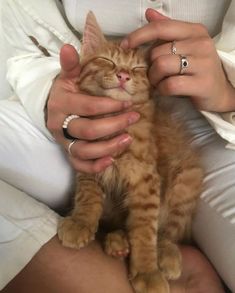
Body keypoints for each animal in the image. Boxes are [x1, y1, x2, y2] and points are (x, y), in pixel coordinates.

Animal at [57, 12, 203, 292]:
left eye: (137, 69)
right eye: (107, 61)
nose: (123, 75)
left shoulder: (146, 179)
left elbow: (145, 229)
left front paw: (147, 270)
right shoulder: (91, 163)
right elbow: (88, 197)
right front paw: (81, 222)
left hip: (186, 180)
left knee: (169, 231)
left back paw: (166, 254)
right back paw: (117, 242)